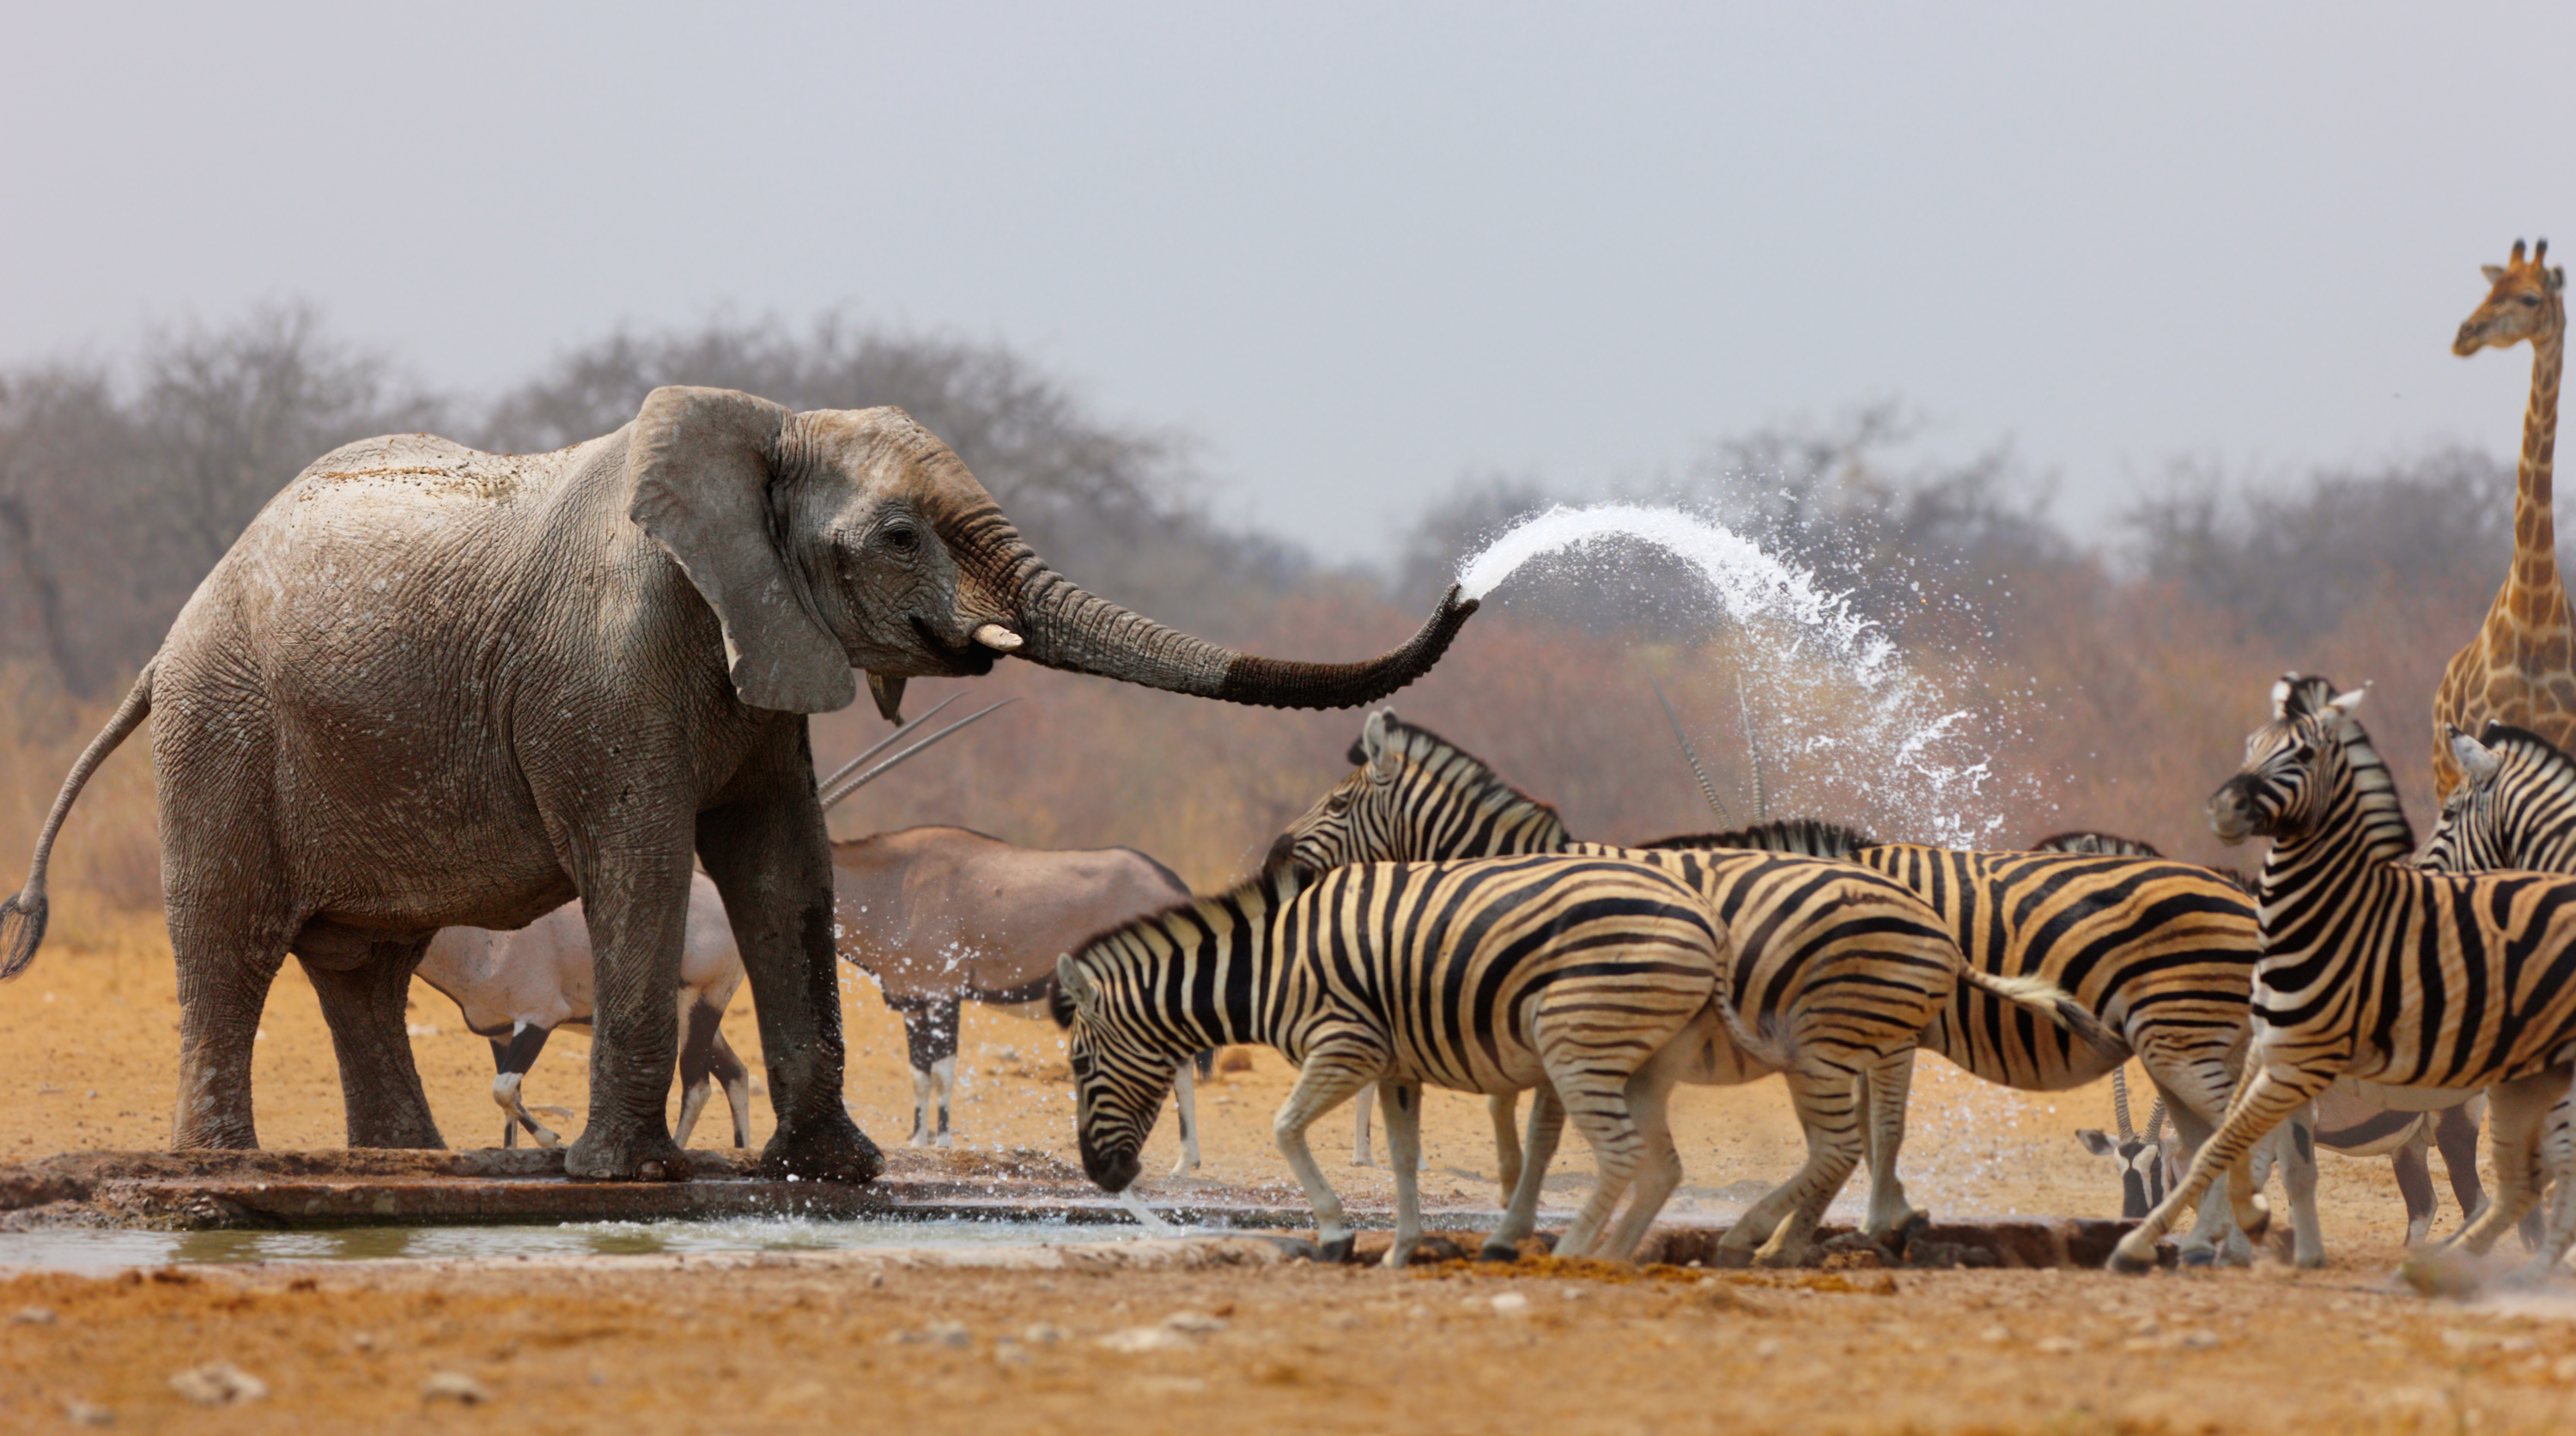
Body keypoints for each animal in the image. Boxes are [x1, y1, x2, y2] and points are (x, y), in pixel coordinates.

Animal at [0, 386, 1484, 1180]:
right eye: (900, 537)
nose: (1472, 583)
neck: (767, 429)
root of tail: (170, 637)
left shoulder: (765, 652)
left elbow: (785, 869)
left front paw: (837, 1173)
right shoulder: (608, 666)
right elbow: (645, 863)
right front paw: (622, 1179)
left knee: (364, 962)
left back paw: (407, 1166)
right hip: (223, 727)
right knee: (234, 938)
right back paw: (226, 1167)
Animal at [1046, 850, 1731, 1263]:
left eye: (1079, 1066)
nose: (1103, 1178)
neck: (1270, 967)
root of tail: (1706, 917)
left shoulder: (1347, 1044)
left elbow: (1285, 1128)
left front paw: (1335, 1233)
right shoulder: (1397, 1066)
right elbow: (1402, 1158)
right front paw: (1403, 1250)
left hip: (1577, 1042)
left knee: (1622, 1153)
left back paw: (1571, 1255)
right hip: (1633, 1057)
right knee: (1655, 1164)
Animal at [1267, 711, 2112, 1257]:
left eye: (1338, 802)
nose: (1274, 859)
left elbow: (1539, 1132)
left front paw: (1515, 1227)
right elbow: (1521, 1125)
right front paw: (1515, 1212)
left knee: (1875, 1127)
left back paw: (1833, 1229)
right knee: (1869, 1130)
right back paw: (1847, 1227)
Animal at [2112, 675, 2576, 1283]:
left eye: (2159, 1167)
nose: (2126, 1217)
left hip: (2456, 1122)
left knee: (2480, 1197)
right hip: (2418, 1139)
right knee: (2439, 1204)